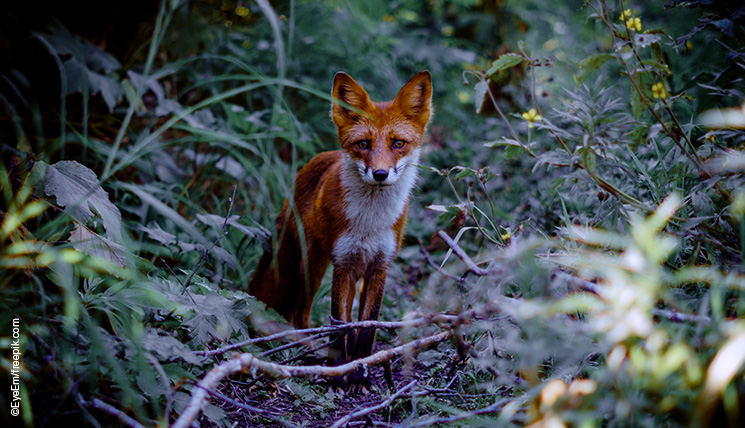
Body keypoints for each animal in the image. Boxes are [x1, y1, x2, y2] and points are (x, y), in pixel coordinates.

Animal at [247, 71, 434, 388]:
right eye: (363, 144)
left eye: (398, 143)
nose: (380, 174)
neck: (370, 221)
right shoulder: (343, 264)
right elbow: (339, 325)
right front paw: (338, 373)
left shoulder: (379, 267)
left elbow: (367, 329)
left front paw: (359, 373)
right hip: (311, 266)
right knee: (299, 314)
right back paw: (308, 351)